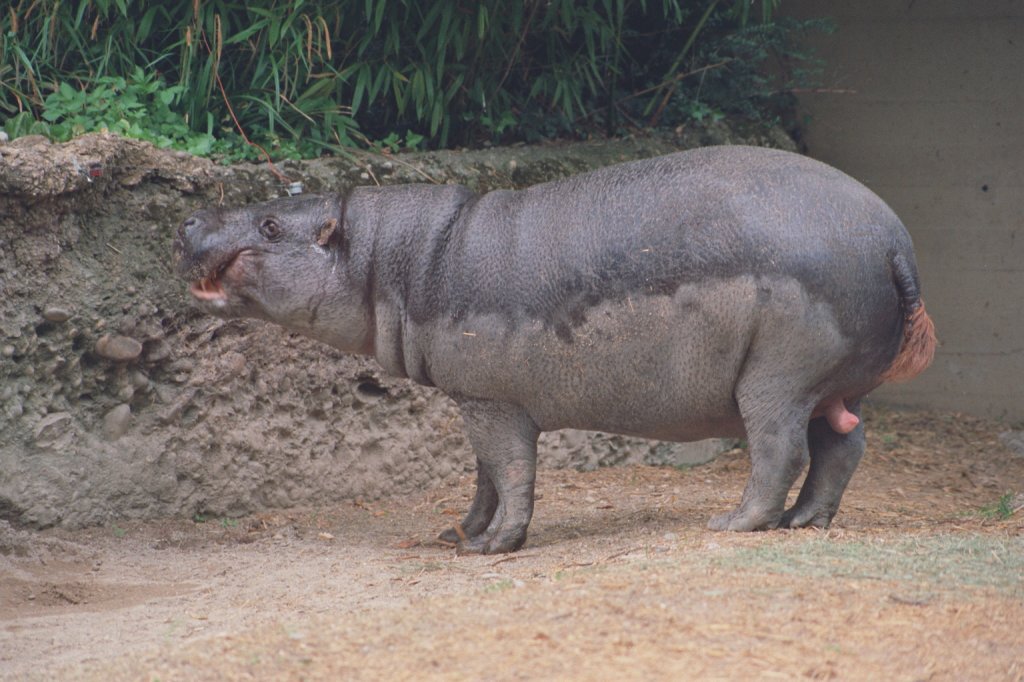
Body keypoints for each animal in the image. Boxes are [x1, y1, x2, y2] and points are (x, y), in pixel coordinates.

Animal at [174, 144, 937, 552]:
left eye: (271, 226)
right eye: (271, 206)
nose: (186, 219)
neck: (389, 259)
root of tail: (895, 241)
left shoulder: (493, 400)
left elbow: (512, 471)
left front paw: (493, 548)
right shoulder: (475, 400)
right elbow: (482, 474)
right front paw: (459, 535)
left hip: (776, 380)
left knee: (782, 450)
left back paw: (733, 523)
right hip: (835, 385)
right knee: (842, 445)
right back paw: (805, 522)